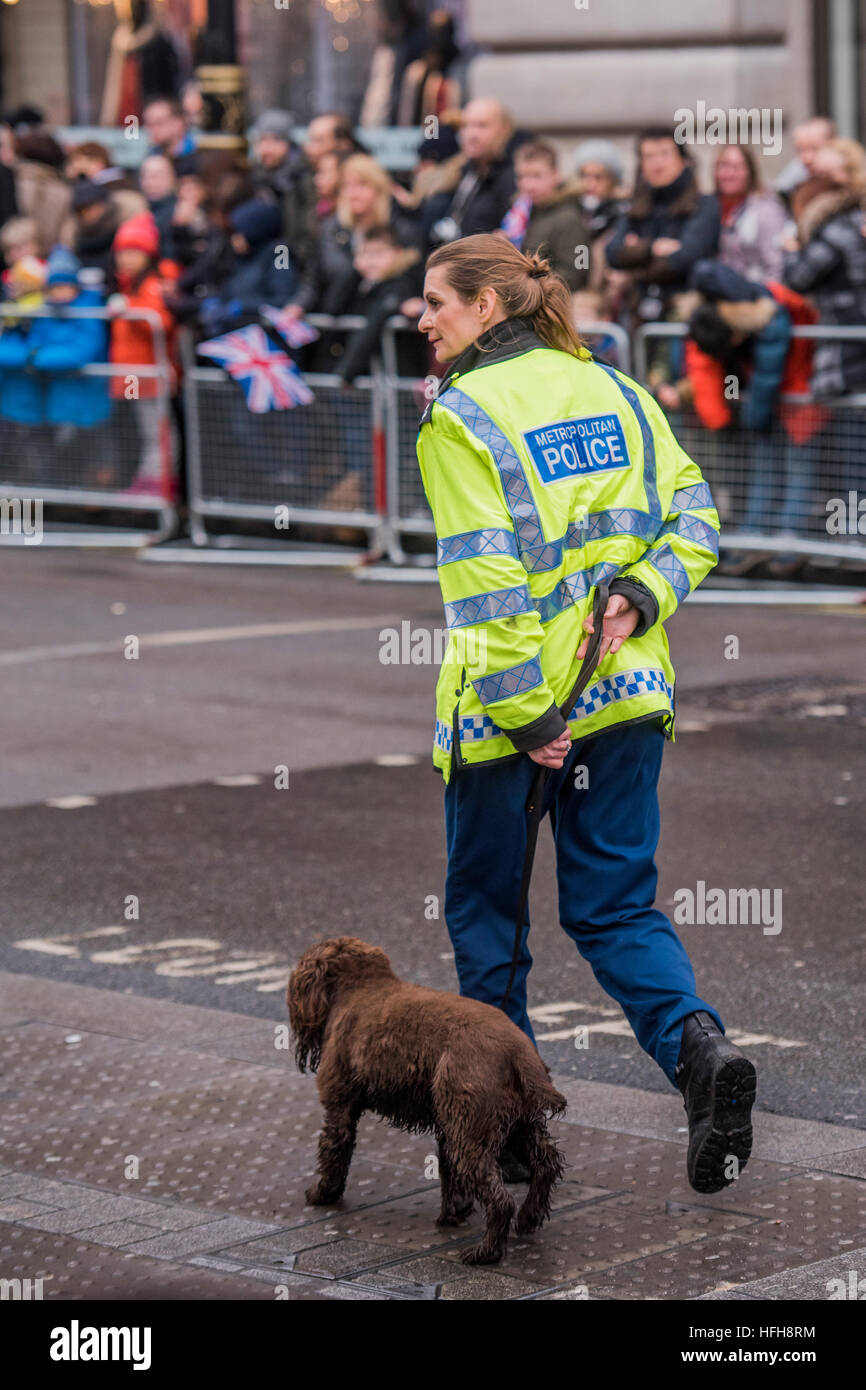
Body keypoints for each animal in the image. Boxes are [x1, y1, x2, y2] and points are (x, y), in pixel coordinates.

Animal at [286, 939, 569, 1267]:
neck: (360, 985)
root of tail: (517, 1052)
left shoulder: (339, 1108)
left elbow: (333, 1154)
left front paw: (322, 1194)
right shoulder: (447, 1125)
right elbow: (450, 1178)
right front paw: (453, 1214)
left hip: (472, 1139)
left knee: (501, 1201)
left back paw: (485, 1252)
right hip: (517, 1125)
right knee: (547, 1164)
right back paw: (528, 1217)